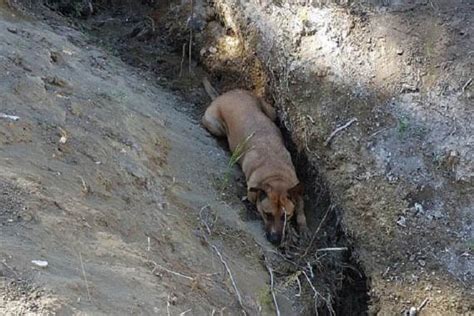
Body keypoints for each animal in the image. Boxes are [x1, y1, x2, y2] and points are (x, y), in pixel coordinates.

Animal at [203, 79, 308, 244]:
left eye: (286, 216)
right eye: (267, 214)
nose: (275, 240)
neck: (276, 174)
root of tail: (223, 95)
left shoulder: (296, 189)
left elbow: (300, 208)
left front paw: (302, 227)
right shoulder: (253, 192)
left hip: (271, 112)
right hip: (215, 125)